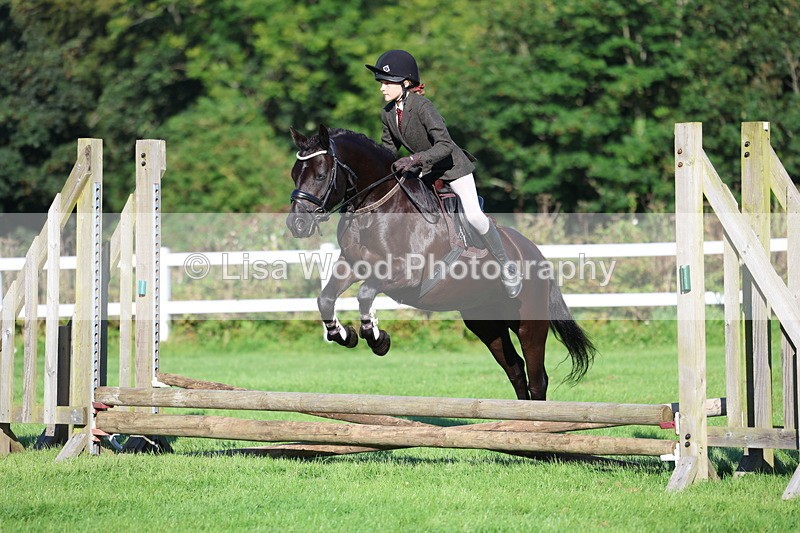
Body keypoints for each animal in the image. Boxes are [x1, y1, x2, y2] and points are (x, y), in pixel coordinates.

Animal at [286, 125, 595, 401]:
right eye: (294, 174)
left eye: (321, 175)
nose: (296, 224)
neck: (376, 210)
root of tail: (535, 252)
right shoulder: (352, 266)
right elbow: (326, 299)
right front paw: (344, 334)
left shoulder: (405, 275)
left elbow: (365, 292)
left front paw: (376, 337)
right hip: (485, 322)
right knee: (515, 369)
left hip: (528, 323)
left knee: (537, 378)